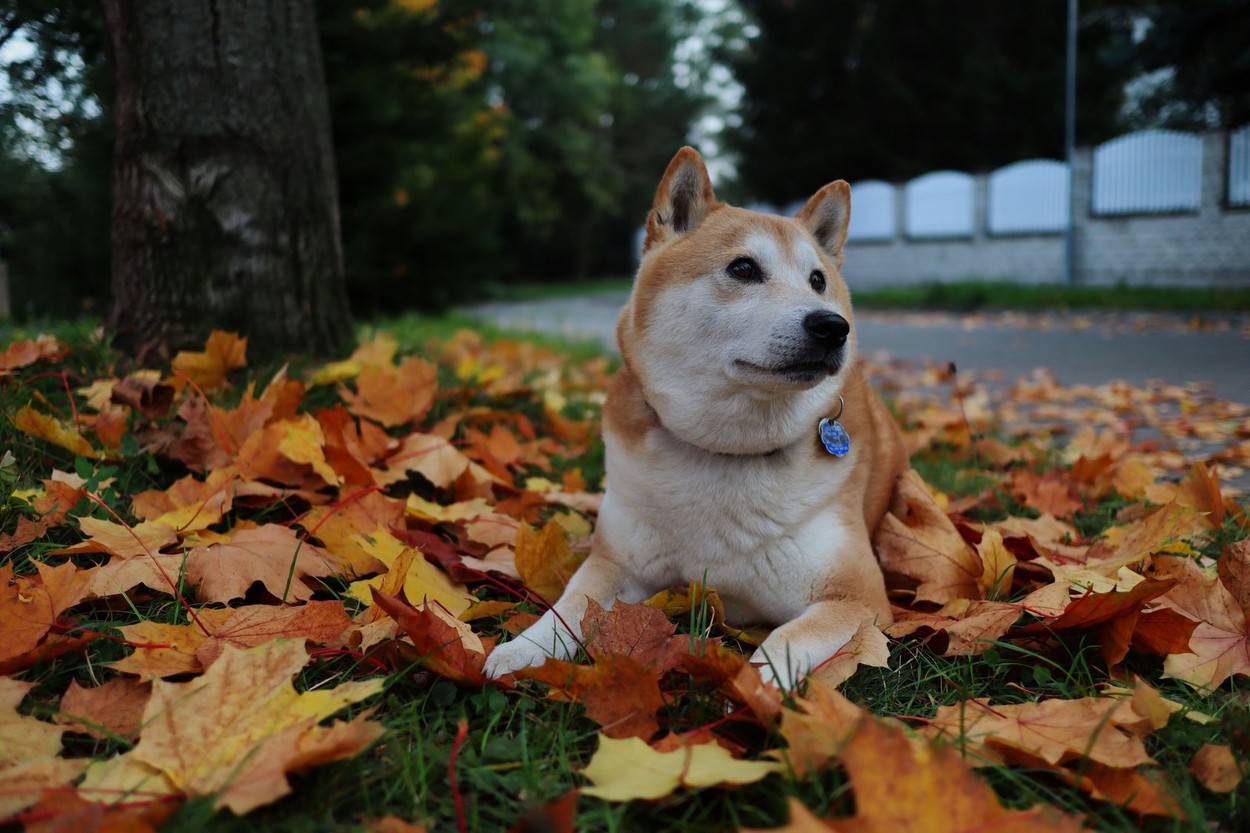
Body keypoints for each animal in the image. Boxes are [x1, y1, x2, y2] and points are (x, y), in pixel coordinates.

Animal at [482, 145, 905, 685]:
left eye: (818, 281)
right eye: (743, 268)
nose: (833, 327)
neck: (726, 450)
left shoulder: (858, 598)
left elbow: (787, 640)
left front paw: (753, 683)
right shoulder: (617, 564)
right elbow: (569, 606)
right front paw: (522, 649)